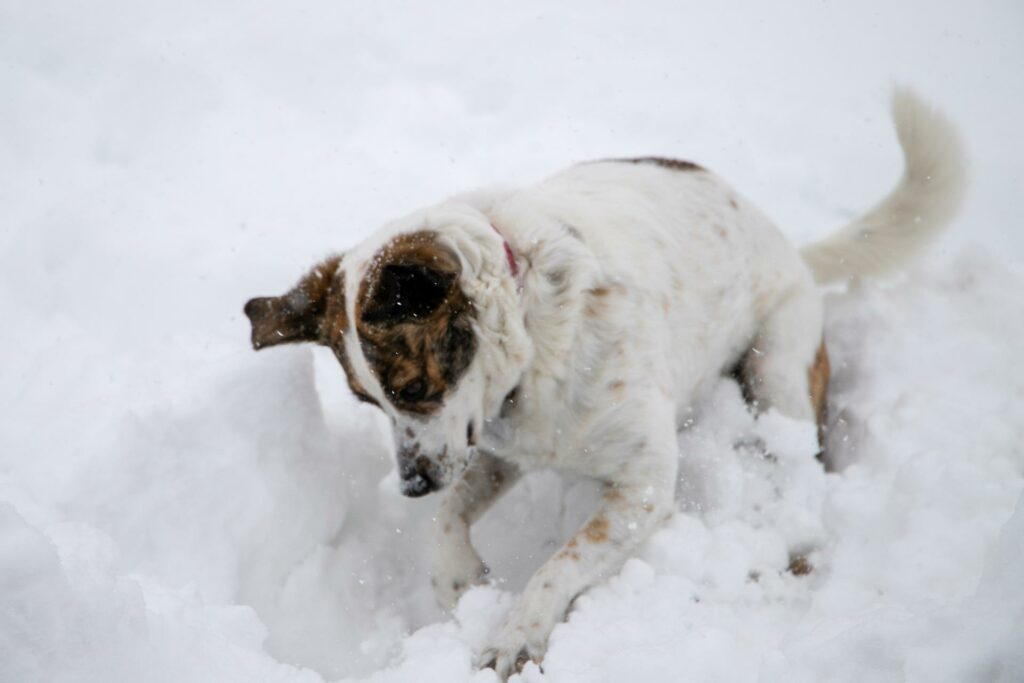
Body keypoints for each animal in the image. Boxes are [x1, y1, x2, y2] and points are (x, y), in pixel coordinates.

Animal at [245, 89, 958, 679]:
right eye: (367, 401)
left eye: (415, 389)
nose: (413, 485)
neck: (534, 338)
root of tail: (792, 247)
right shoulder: (497, 451)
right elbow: (447, 524)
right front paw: (460, 583)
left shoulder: (642, 486)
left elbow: (561, 561)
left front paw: (517, 634)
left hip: (778, 366)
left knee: (799, 461)